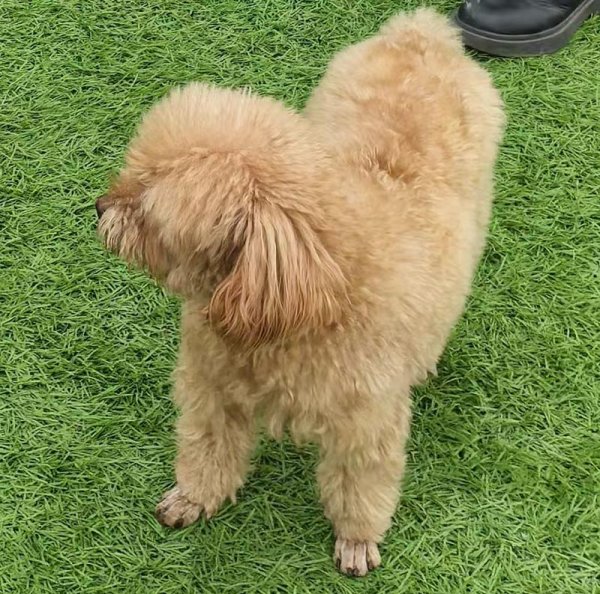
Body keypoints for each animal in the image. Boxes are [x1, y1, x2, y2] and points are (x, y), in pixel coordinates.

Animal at [96, 9, 504, 576]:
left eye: (147, 212)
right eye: (132, 176)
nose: (98, 208)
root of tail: (420, 34)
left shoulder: (366, 425)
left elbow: (360, 487)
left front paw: (356, 540)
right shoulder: (210, 390)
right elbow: (206, 448)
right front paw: (193, 498)